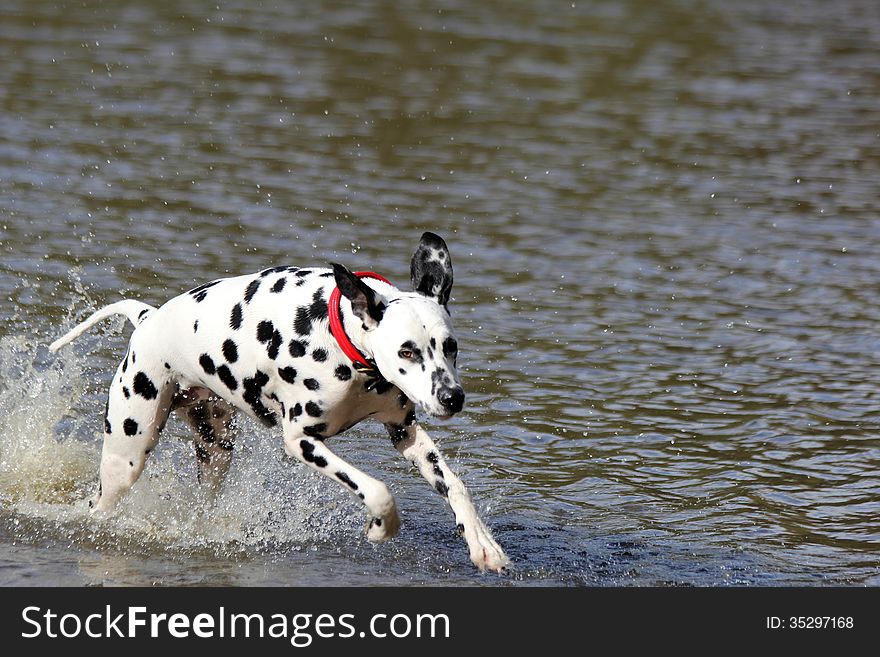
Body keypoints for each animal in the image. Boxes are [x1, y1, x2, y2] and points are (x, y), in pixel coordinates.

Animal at [49, 233, 508, 572]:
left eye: (450, 346)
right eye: (407, 351)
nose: (453, 397)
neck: (344, 344)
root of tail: (147, 319)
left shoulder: (405, 431)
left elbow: (455, 485)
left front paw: (484, 546)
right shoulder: (302, 441)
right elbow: (378, 491)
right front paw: (380, 529)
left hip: (215, 450)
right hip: (126, 457)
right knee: (99, 503)